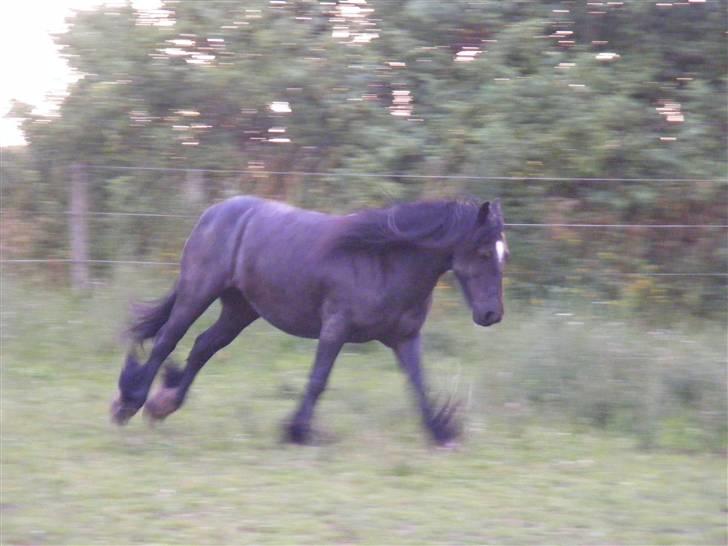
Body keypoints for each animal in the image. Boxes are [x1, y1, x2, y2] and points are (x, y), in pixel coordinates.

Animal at [111, 196, 510, 442]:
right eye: (482, 252)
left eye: (503, 254)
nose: (491, 314)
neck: (384, 263)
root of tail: (214, 213)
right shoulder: (335, 328)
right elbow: (318, 380)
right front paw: (297, 432)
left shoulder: (405, 338)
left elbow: (419, 384)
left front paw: (441, 432)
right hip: (198, 293)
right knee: (167, 340)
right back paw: (129, 403)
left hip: (240, 310)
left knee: (202, 347)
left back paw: (163, 405)